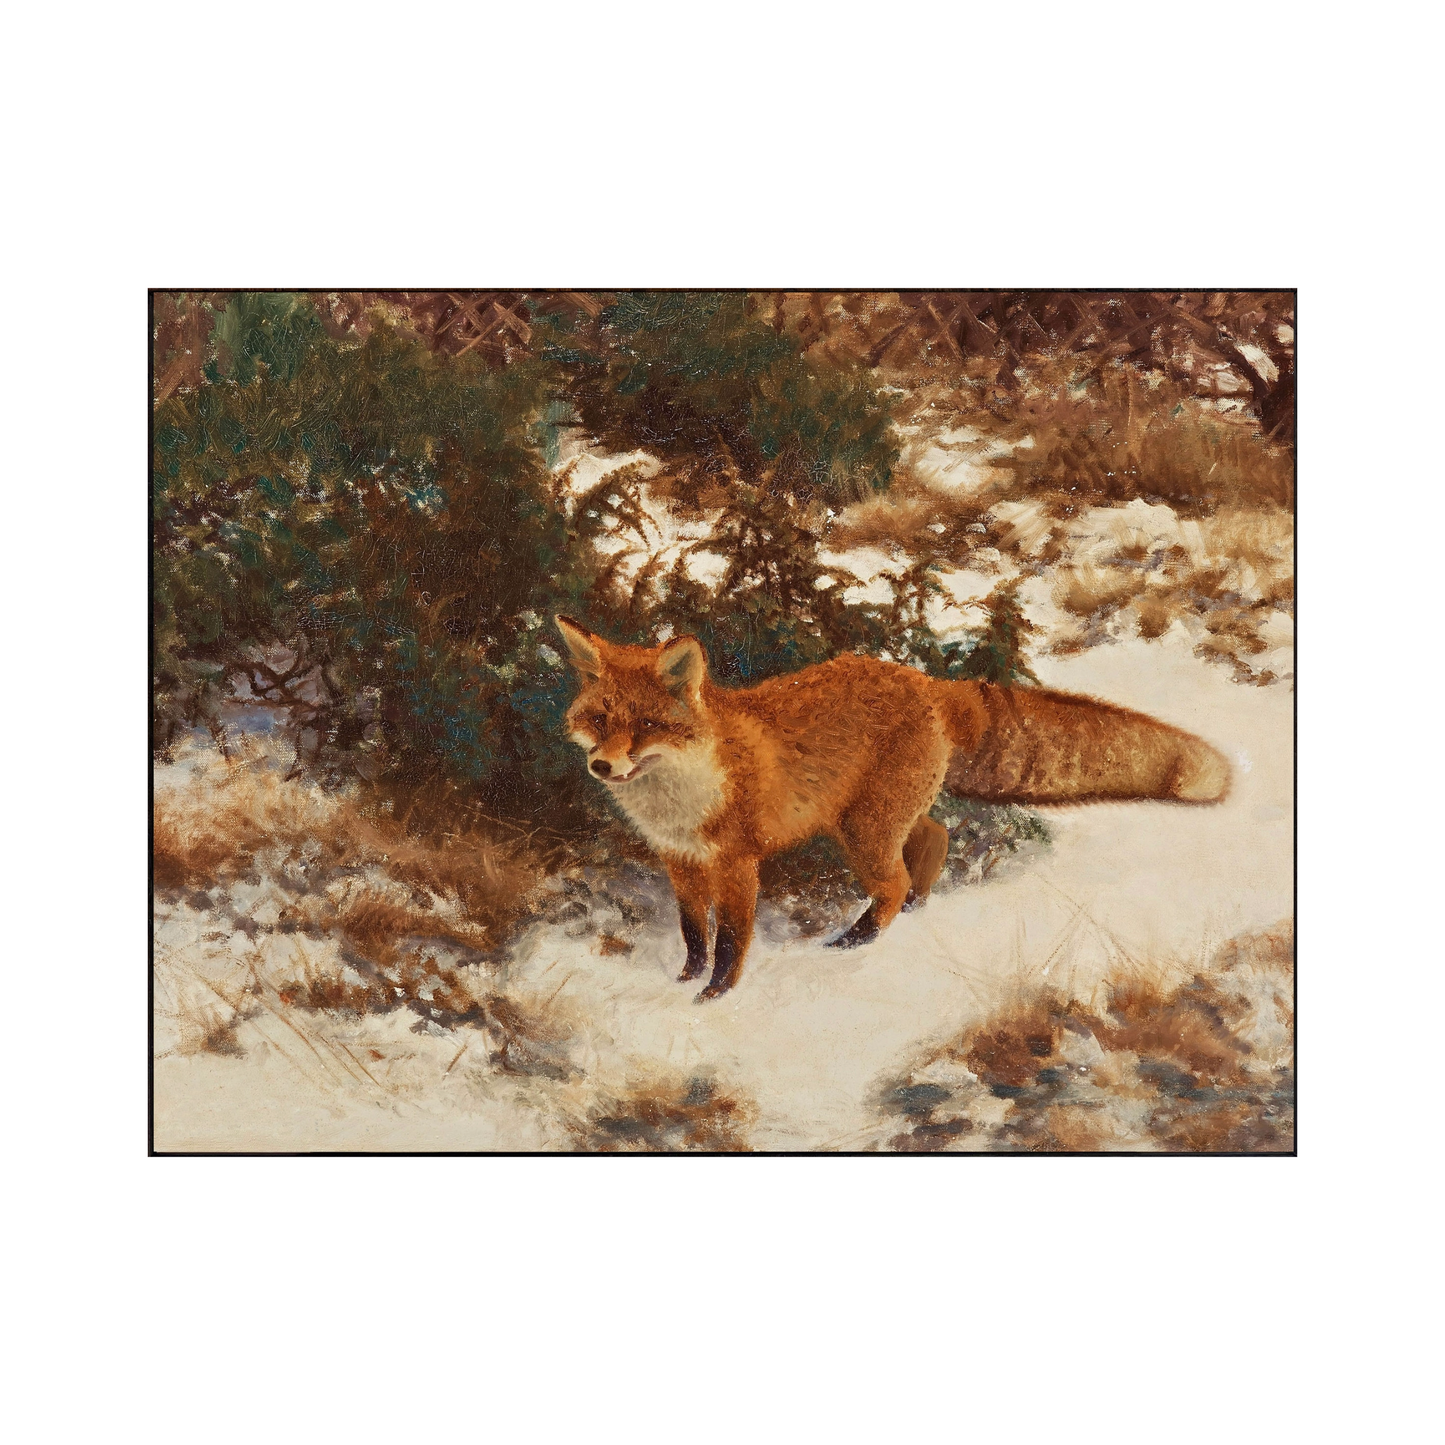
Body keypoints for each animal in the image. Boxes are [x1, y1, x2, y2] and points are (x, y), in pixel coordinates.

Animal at [555, 616, 1230, 1002]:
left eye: (646, 726)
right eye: (599, 720)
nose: (602, 767)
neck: (680, 795)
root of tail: (926, 682)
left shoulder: (738, 862)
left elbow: (730, 942)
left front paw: (714, 997)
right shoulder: (679, 860)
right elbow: (694, 933)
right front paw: (683, 981)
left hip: (863, 831)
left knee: (896, 876)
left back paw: (858, 940)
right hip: (871, 819)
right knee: (934, 838)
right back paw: (916, 909)